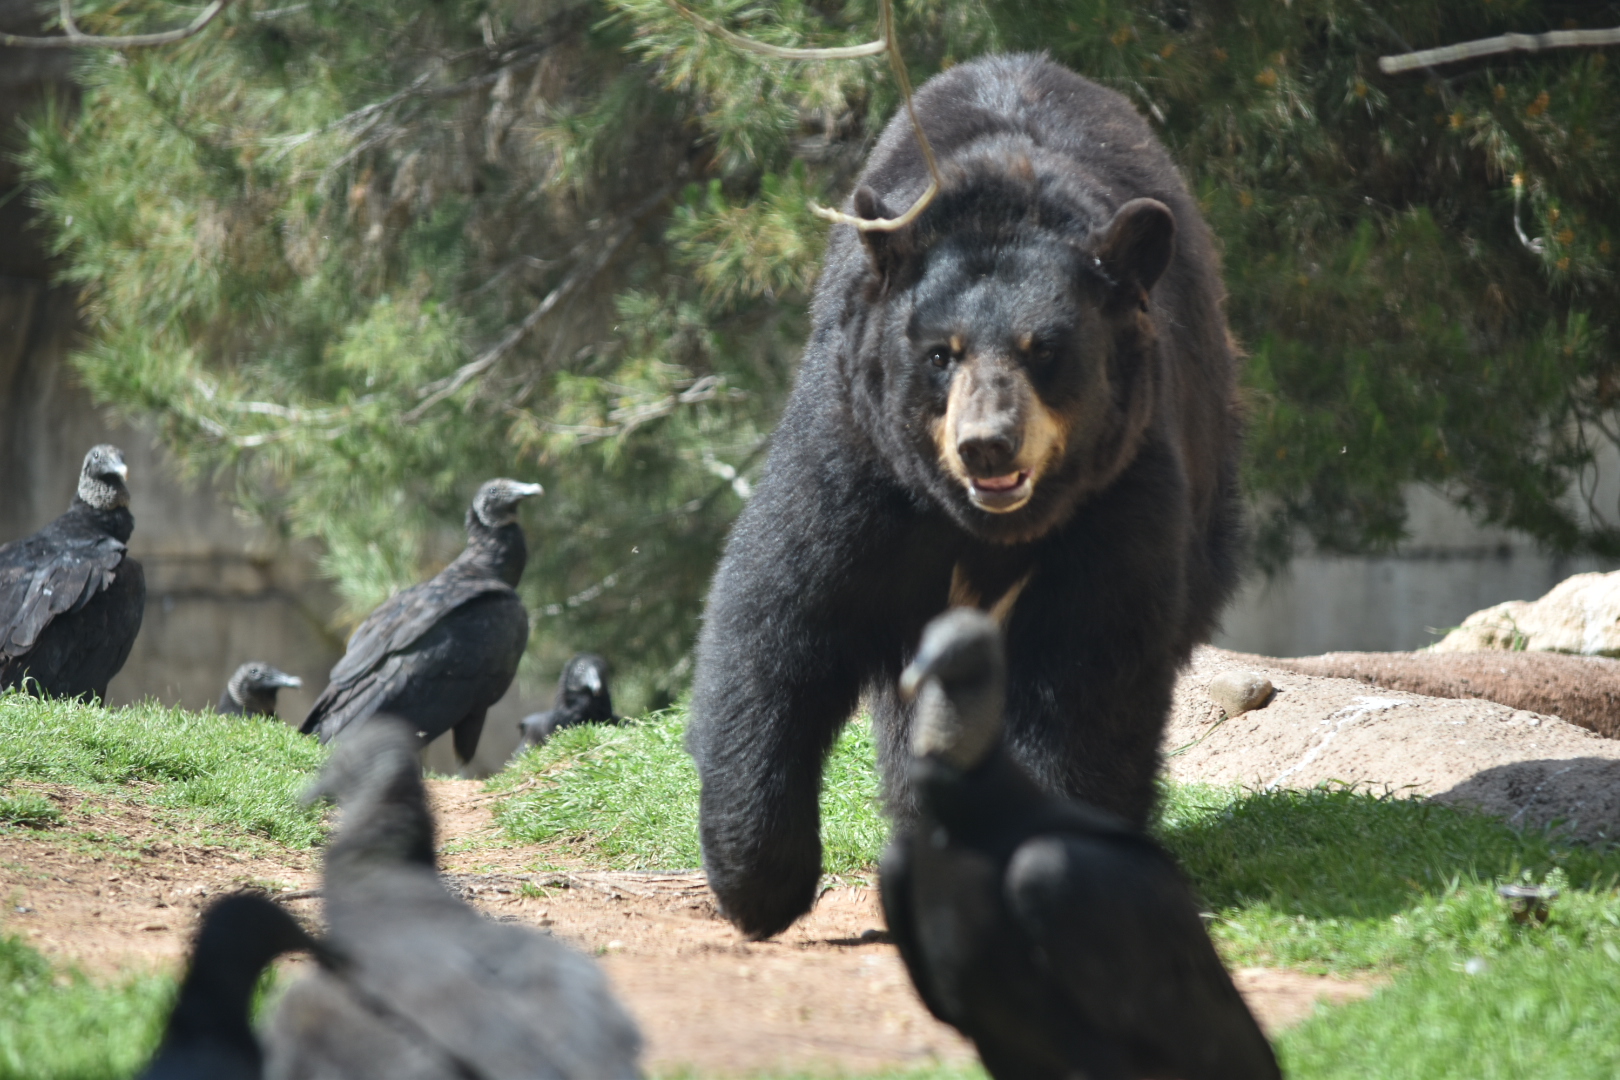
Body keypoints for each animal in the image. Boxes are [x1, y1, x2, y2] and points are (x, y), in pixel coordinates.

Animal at [688, 53, 1244, 940]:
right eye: (941, 354)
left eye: (1044, 349)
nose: (988, 444)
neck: (984, 525)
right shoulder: (859, 459)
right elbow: (781, 617)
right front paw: (760, 882)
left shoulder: (1118, 492)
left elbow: (1086, 672)